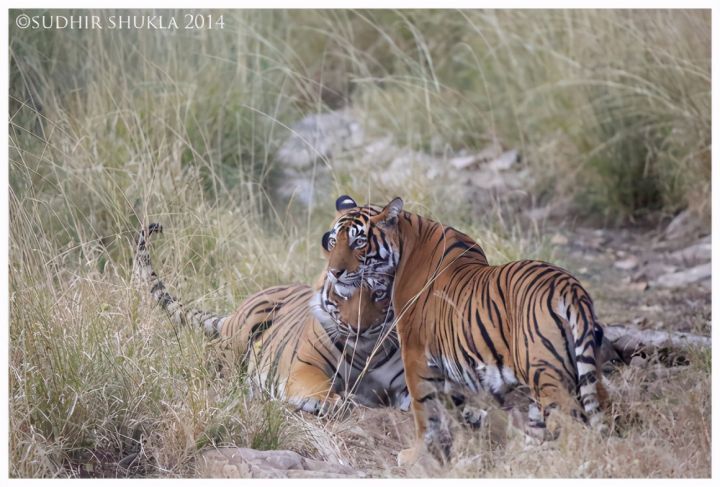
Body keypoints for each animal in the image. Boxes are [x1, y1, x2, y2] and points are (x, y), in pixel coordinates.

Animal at [133, 223, 409, 414]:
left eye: (379, 294)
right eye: (344, 293)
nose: (358, 328)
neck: (364, 351)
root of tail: (234, 314)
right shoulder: (304, 365)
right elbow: (318, 385)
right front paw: (331, 401)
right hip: (246, 326)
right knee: (217, 350)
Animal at [320, 195, 609, 465]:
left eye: (359, 242)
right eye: (334, 242)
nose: (333, 272)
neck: (405, 244)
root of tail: (569, 286)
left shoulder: (415, 353)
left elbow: (424, 411)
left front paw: (417, 455)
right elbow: (452, 409)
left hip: (546, 373)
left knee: (573, 427)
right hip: (578, 369)